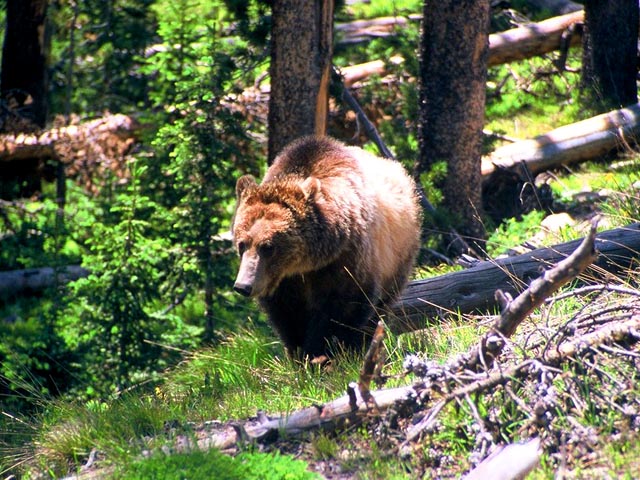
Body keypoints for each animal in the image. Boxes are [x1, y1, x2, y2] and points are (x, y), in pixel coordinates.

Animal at [232, 135, 422, 358]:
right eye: (242, 243)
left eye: (268, 246)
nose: (243, 286)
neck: (306, 264)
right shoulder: (284, 283)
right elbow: (288, 318)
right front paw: (299, 354)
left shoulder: (347, 261)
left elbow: (341, 311)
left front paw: (323, 352)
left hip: (397, 257)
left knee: (380, 307)